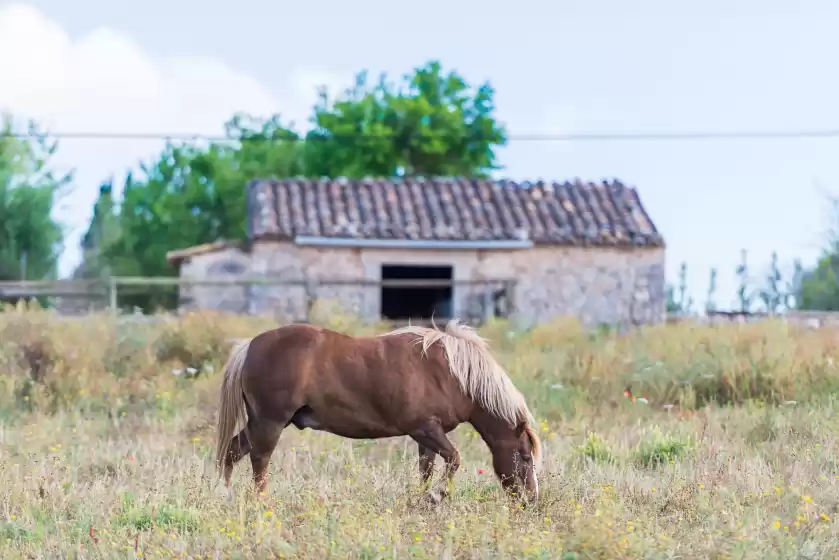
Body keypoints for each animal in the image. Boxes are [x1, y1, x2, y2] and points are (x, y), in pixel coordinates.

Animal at [217, 318, 544, 506]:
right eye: (525, 457)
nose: (531, 501)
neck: (452, 372)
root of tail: (250, 346)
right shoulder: (424, 429)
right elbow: (454, 460)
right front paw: (437, 497)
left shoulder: (427, 435)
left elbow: (426, 470)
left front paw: (424, 500)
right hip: (270, 422)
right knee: (259, 461)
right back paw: (261, 502)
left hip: (261, 423)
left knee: (232, 452)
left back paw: (224, 495)